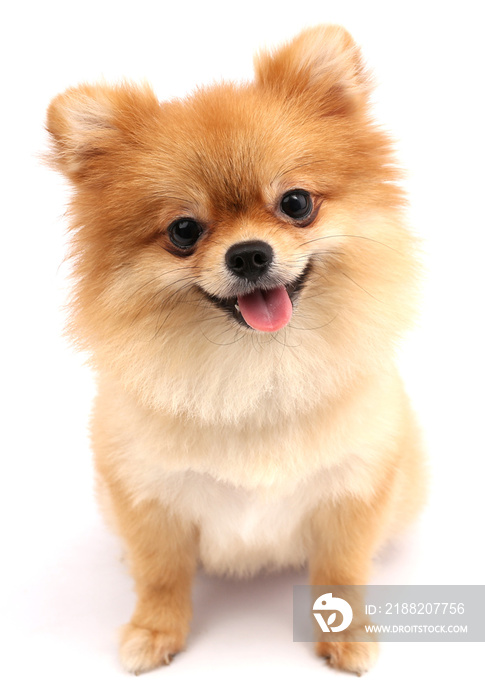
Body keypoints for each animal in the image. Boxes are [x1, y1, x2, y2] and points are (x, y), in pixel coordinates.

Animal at [45, 24, 424, 676]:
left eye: (296, 203)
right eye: (183, 231)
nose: (248, 253)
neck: (256, 368)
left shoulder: (355, 484)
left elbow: (341, 571)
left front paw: (345, 633)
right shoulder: (148, 495)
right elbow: (161, 575)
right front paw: (155, 631)